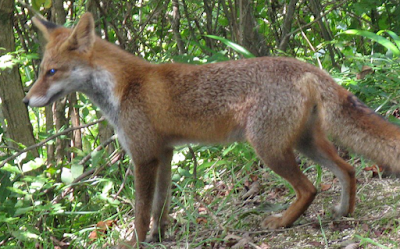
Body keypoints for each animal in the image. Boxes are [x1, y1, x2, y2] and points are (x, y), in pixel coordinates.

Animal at [23, 12, 400, 246]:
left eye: (52, 72)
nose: (26, 101)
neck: (124, 87)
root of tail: (305, 66)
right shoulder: (165, 153)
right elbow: (160, 206)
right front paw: (159, 238)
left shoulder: (143, 156)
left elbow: (141, 212)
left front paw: (134, 242)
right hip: (306, 143)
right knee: (347, 169)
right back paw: (343, 212)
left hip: (269, 148)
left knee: (309, 188)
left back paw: (282, 222)